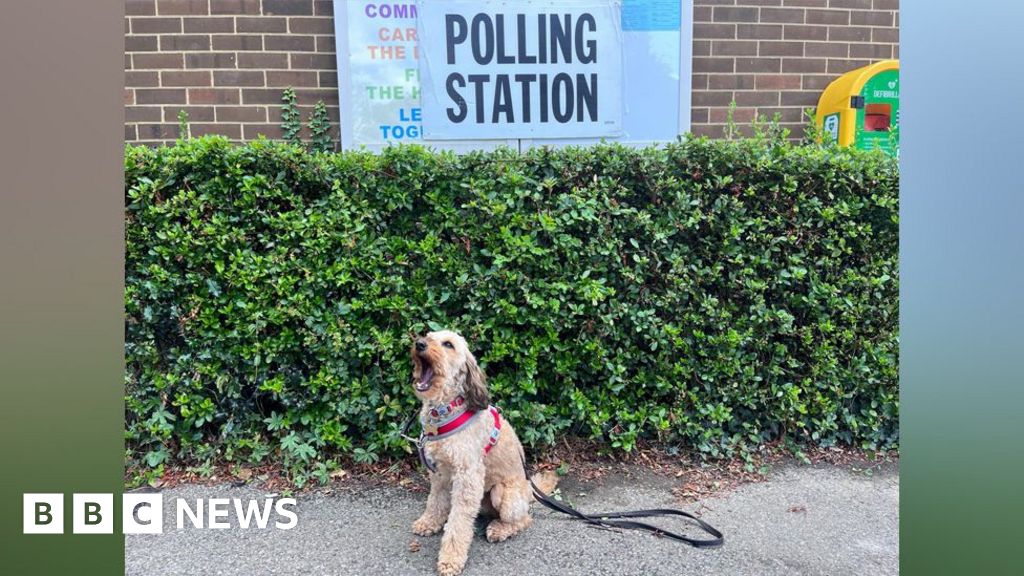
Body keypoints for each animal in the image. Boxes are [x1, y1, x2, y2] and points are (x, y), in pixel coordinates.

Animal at [405, 327, 557, 573]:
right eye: (428, 336)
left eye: (448, 344)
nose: (419, 344)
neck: (445, 410)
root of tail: (529, 490)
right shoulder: (440, 474)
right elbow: (435, 501)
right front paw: (429, 523)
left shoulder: (468, 478)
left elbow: (458, 523)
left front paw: (451, 559)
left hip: (503, 495)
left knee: (523, 519)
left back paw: (499, 529)